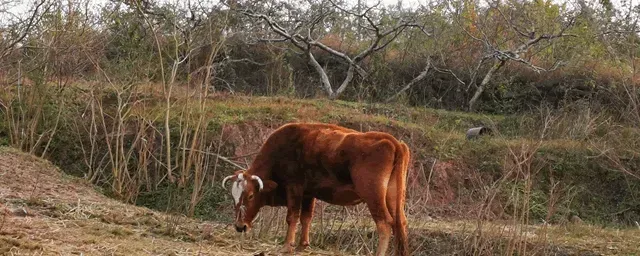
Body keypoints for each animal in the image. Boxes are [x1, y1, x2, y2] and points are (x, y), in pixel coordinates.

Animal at [220, 123, 410, 255]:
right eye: (234, 197)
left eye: (251, 195)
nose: (240, 226)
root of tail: (393, 142)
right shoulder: (308, 194)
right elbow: (306, 218)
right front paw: (302, 245)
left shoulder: (294, 188)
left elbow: (293, 217)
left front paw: (287, 246)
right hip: (393, 197)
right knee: (400, 223)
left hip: (373, 196)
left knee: (384, 223)